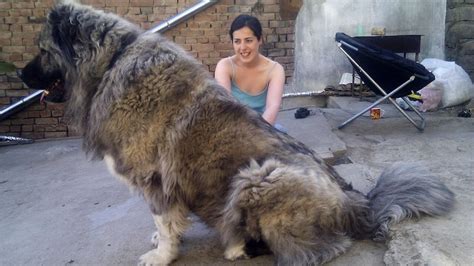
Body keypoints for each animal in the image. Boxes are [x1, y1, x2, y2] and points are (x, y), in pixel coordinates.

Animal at [19, 1, 456, 264]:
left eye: (42, 51)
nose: (19, 75)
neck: (111, 64)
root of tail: (357, 203)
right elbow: (163, 223)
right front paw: (160, 244)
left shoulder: (156, 180)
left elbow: (163, 221)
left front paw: (162, 254)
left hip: (258, 175)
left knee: (323, 248)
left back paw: (236, 245)